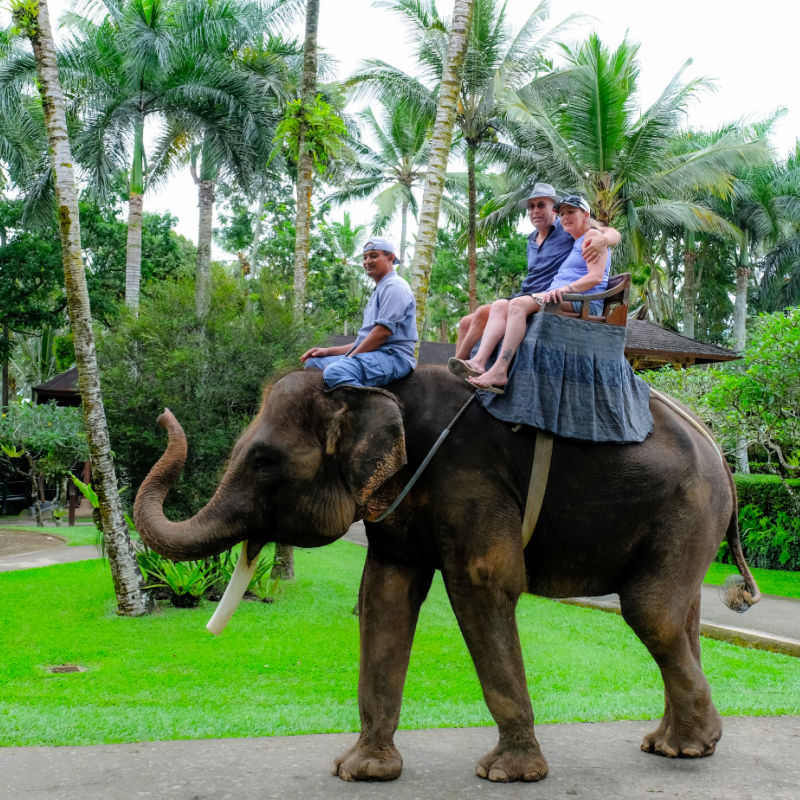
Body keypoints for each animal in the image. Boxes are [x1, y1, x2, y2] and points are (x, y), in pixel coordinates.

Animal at [133, 366, 760, 783]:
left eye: (265, 462)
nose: (160, 412)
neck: (377, 390)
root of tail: (717, 446)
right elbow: (384, 592)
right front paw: (360, 772)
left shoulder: (468, 479)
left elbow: (483, 584)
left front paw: (508, 775)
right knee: (679, 616)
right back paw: (677, 746)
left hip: (688, 507)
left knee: (649, 611)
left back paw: (696, 744)